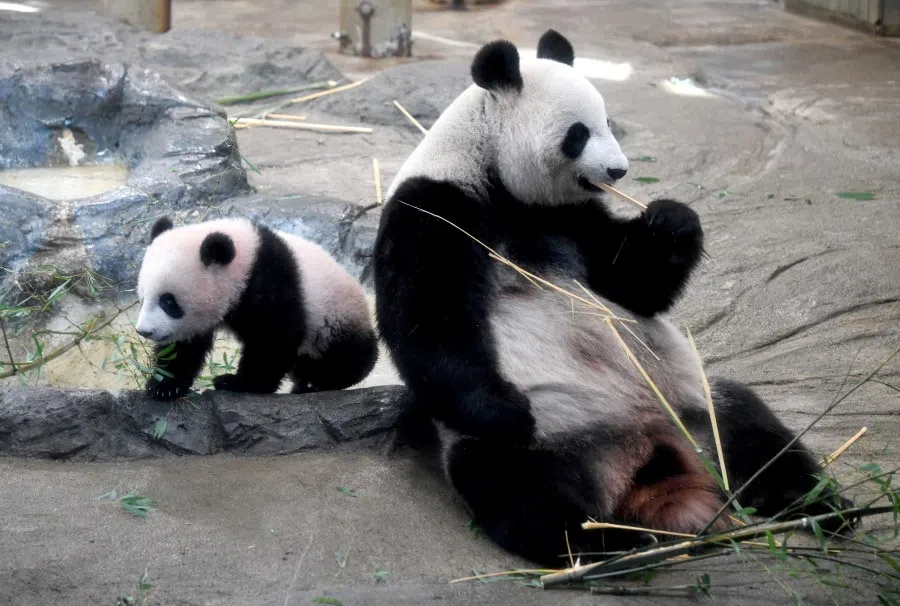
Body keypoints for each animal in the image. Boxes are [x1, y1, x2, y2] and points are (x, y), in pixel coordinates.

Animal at [136, 216, 378, 401]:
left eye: (168, 302)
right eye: (143, 297)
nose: (144, 331)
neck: (246, 259)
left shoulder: (271, 282)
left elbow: (273, 339)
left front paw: (238, 383)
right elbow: (184, 346)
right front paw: (165, 386)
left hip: (335, 316)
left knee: (347, 356)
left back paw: (316, 381)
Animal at [373, 30, 854, 566]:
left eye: (609, 122)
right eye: (578, 133)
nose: (619, 170)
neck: (493, 171)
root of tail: (648, 455)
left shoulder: (572, 218)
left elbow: (632, 284)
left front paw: (672, 220)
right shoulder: (435, 208)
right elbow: (428, 320)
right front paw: (506, 410)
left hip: (695, 407)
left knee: (754, 431)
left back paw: (822, 505)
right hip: (547, 442)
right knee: (518, 490)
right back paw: (606, 542)